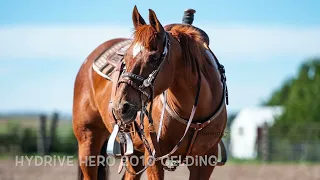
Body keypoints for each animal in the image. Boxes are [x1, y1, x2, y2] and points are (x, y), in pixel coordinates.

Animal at [72, 5, 228, 180]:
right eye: (125, 58)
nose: (120, 108)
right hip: (88, 141)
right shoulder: (153, 157)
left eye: (153, 57)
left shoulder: (205, 161)